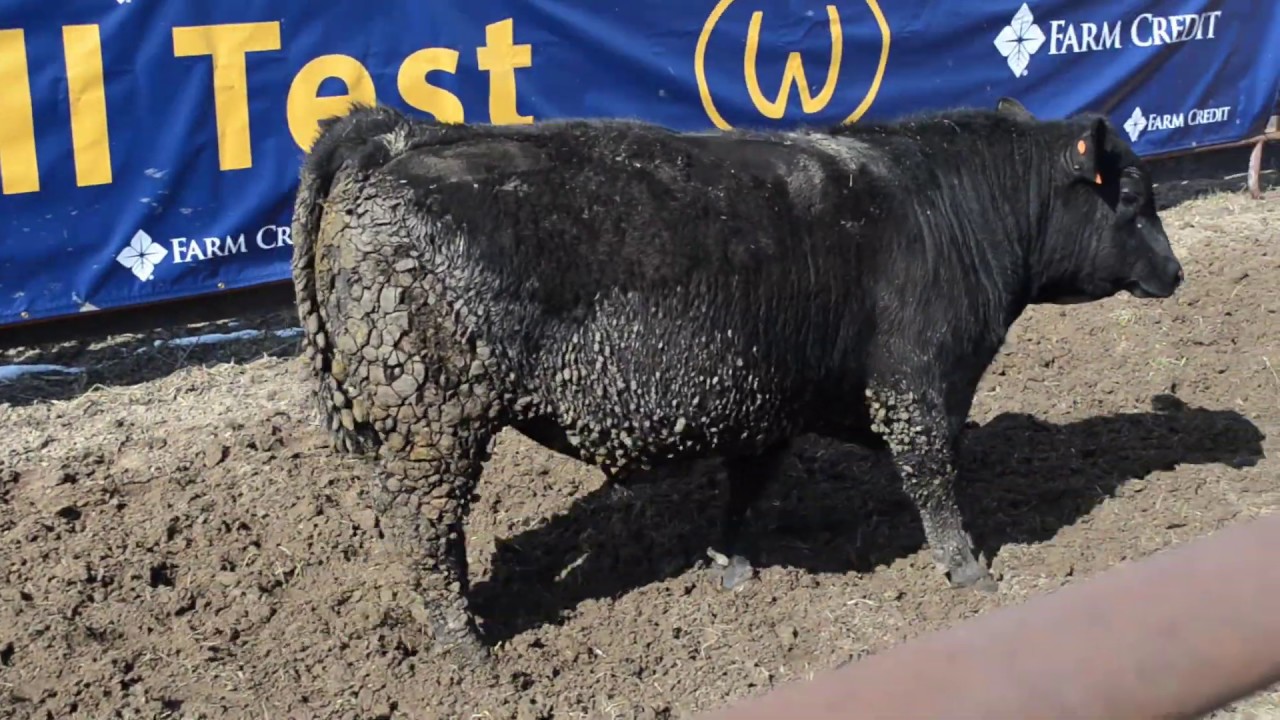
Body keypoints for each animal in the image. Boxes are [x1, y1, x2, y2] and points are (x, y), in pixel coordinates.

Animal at [290, 96, 1183, 664]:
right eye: (1134, 195)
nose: (1176, 271)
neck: (945, 204)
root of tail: (405, 135)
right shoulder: (921, 383)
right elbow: (933, 478)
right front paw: (968, 568)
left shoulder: (768, 402)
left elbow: (748, 488)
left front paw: (730, 561)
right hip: (433, 424)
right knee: (425, 532)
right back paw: (467, 644)